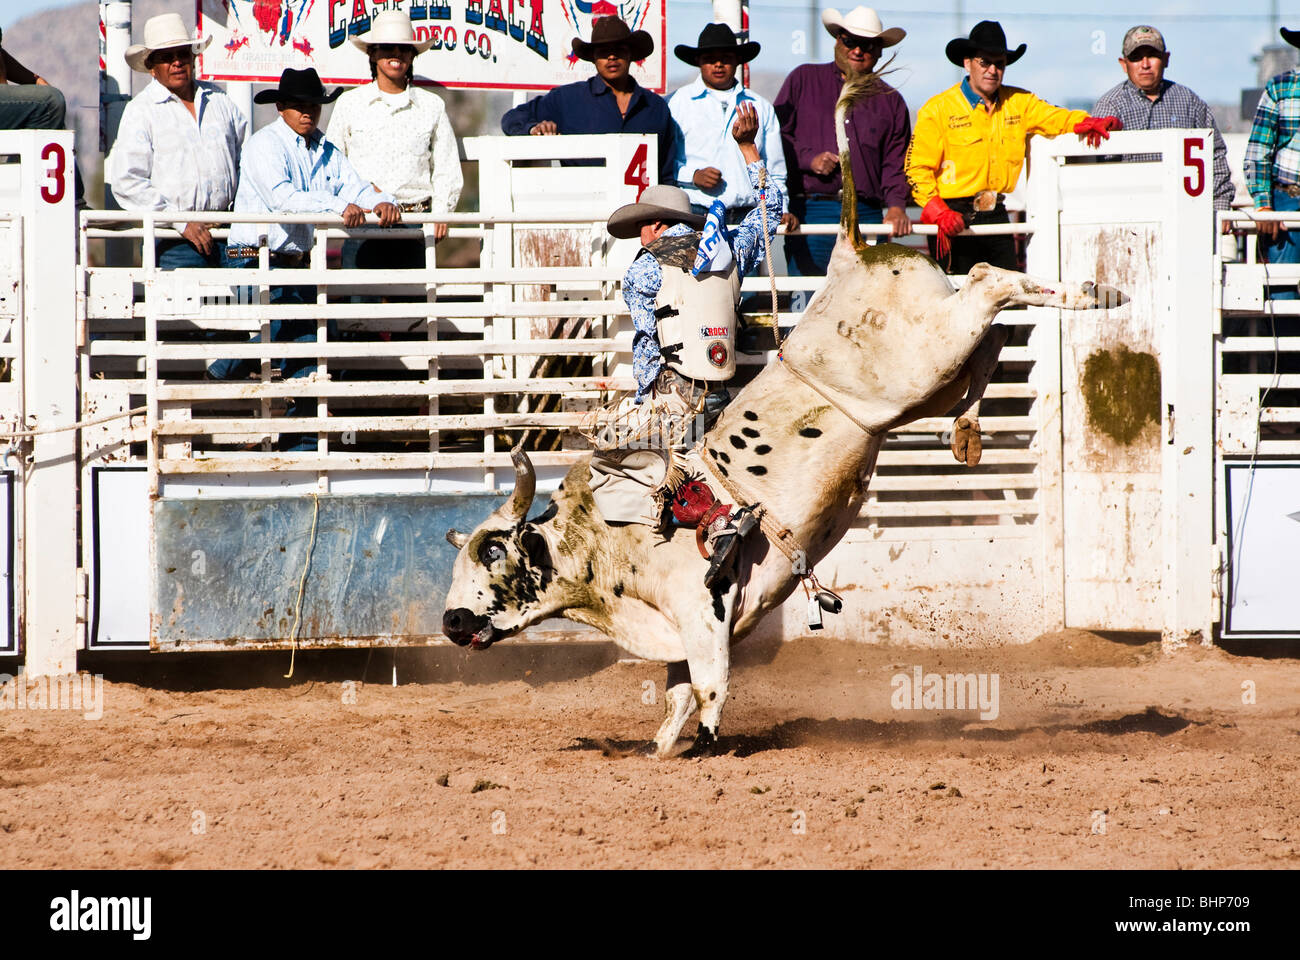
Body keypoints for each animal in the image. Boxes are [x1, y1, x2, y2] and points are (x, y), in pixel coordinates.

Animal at [441, 70, 1125, 757]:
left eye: (492, 555)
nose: (450, 620)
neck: (604, 537)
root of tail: (850, 253)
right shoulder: (673, 633)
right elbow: (675, 696)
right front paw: (658, 750)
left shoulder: (702, 616)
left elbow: (708, 689)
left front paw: (707, 745)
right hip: (931, 384)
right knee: (989, 335)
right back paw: (970, 432)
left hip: (928, 355)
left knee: (988, 279)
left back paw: (1097, 291)